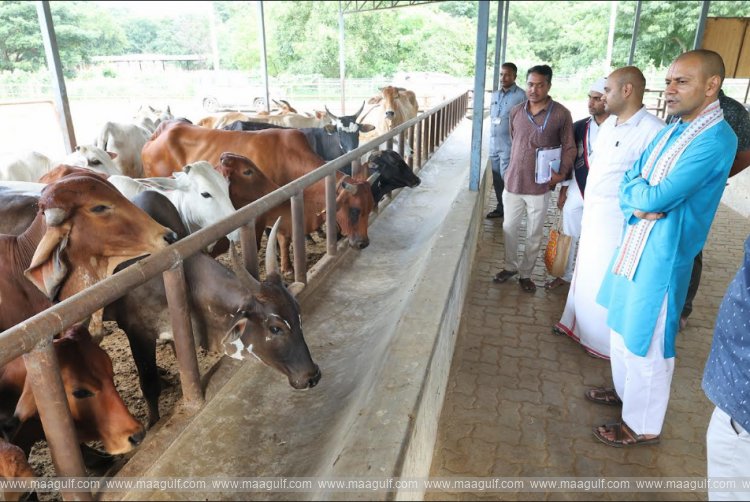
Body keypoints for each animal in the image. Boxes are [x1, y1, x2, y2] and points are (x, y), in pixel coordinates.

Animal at [105, 191, 321, 425]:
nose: (313, 376)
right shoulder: (137, 333)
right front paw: (152, 423)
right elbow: (149, 386)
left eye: (298, 315)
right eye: (275, 328)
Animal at [141, 122, 375, 275]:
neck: (289, 157)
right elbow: (277, 237)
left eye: (369, 208)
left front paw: (285, 264)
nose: (364, 243)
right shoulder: (263, 213)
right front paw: (284, 265)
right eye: (354, 210)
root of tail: (157, 135)